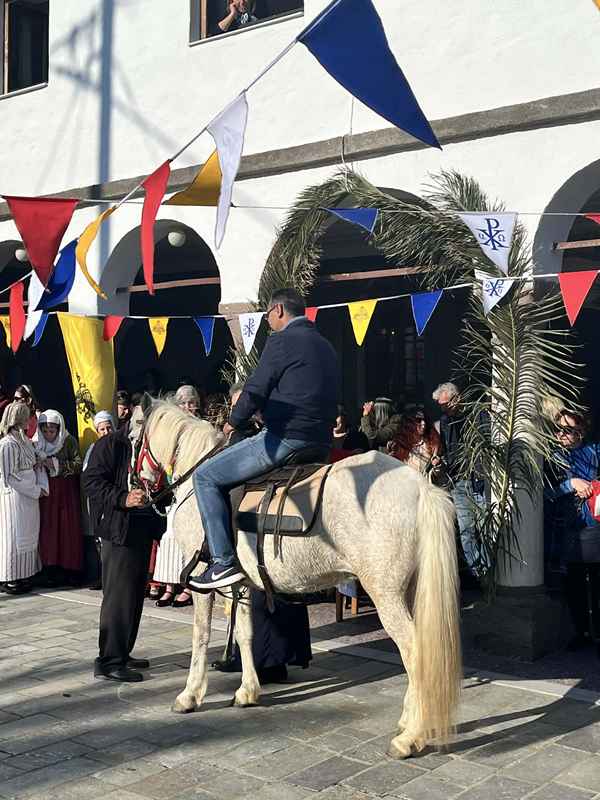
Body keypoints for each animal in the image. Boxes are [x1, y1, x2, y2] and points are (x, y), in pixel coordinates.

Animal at [130, 399, 462, 759]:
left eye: (132, 435)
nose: (135, 489)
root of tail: (421, 488)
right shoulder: (241, 584)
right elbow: (245, 634)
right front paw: (247, 691)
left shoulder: (203, 586)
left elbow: (200, 636)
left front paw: (189, 696)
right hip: (413, 591)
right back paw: (409, 721)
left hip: (386, 595)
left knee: (415, 652)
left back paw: (410, 738)